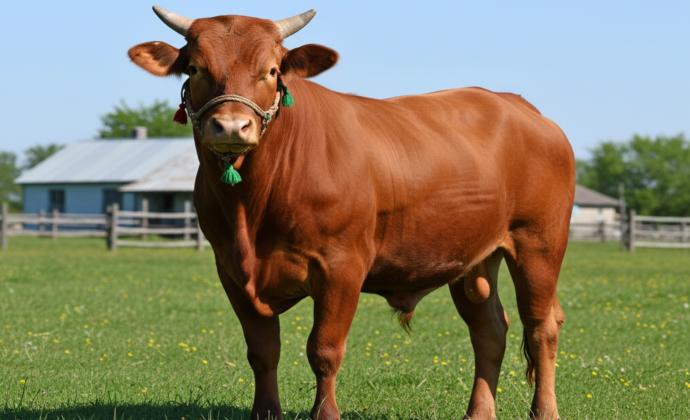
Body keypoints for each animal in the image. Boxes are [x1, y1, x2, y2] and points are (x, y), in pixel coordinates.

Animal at [129, 5, 575, 419]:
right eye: (195, 68)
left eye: (271, 71)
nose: (232, 127)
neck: (251, 210)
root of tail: (519, 105)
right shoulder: (233, 272)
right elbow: (262, 351)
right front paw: (266, 412)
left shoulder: (341, 267)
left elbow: (324, 349)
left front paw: (325, 413)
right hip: (473, 260)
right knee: (489, 330)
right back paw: (478, 412)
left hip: (539, 244)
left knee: (541, 327)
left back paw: (545, 410)